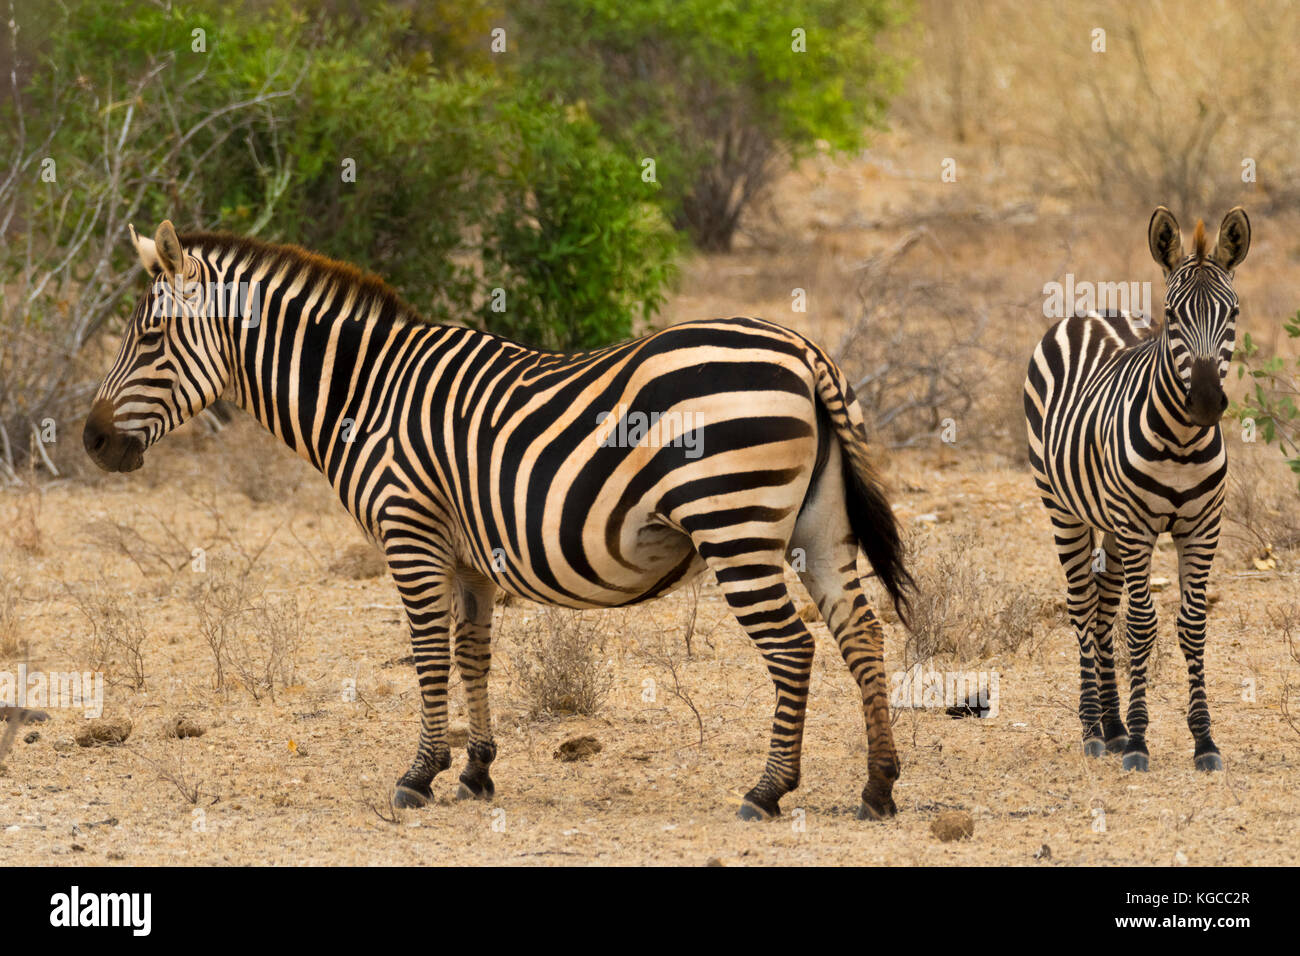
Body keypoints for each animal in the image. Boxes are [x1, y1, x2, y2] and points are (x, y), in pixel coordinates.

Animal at [82, 220, 915, 821]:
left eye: (148, 339)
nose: (90, 441)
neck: (365, 397)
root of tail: (802, 351)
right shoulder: (470, 559)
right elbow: (473, 654)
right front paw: (477, 770)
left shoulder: (409, 533)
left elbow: (426, 655)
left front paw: (419, 775)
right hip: (817, 528)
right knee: (862, 634)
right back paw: (878, 787)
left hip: (734, 522)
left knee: (793, 648)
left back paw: (767, 791)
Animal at [1024, 206, 1250, 773]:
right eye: (1172, 315)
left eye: (1233, 312)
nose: (1206, 403)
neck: (1184, 442)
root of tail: (1090, 311)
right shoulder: (1138, 526)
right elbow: (1143, 624)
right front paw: (1142, 740)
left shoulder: (1201, 528)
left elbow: (1191, 625)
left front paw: (1203, 740)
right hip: (1064, 509)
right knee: (1083, 604)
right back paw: (1093, 730)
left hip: (1107, 521)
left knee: (1104, 605)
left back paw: (1113, 725)